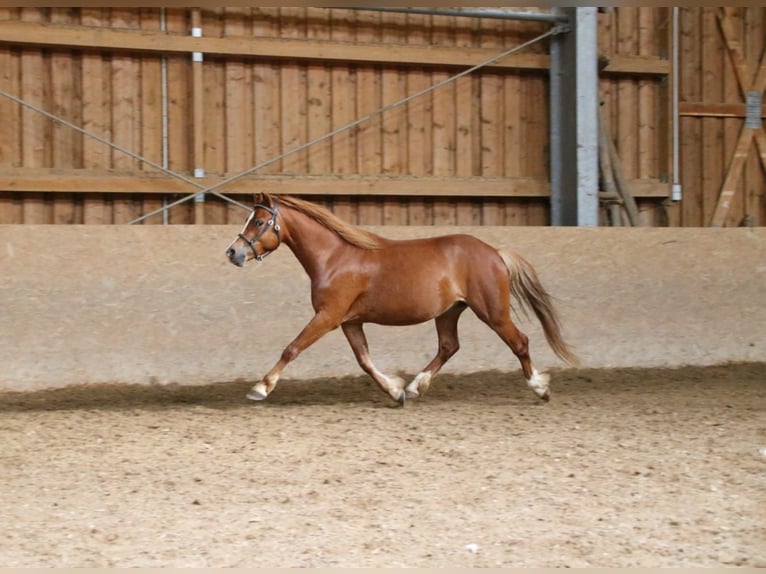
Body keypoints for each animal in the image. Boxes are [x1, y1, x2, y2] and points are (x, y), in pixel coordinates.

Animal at [225, 196, 580, 408]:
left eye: (259, 222)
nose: (233, 252)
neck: (335, 257)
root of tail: (494, 252)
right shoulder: (350, 321)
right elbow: (365, 361)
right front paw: (396, 392)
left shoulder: (328, 316)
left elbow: (292, 348)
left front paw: (260, 388)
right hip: (449, 312)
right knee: (448, 347)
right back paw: (414, 387)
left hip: (492, 312)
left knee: (520, 342)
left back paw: (540, 388)